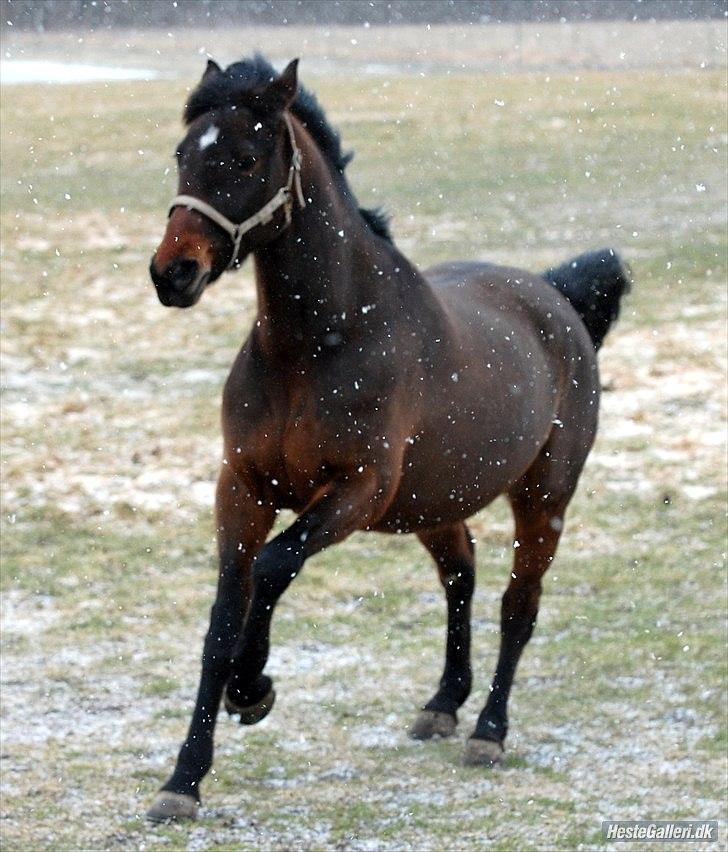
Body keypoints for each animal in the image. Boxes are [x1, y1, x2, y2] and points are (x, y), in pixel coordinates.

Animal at [145, 56, 628, 824]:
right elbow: (222, 621)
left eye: (245, 158)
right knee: (461, 574)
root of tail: (555, 295)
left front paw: (254, 690)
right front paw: (183, 780)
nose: (174, 273)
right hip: (436, 500)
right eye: (184, 153)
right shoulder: (241, 489)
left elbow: (273, 569)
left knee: (518, 604)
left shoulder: (356, 493)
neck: (315, 344)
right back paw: (443, 704)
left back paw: (489, 732)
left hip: (543, 497)